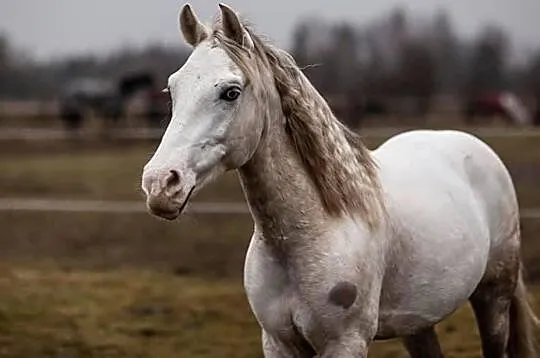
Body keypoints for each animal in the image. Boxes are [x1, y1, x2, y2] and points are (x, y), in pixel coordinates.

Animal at [141, 4, 536, 356]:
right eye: (172, 90)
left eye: (231, 92)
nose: (160, 184)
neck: (315, 229)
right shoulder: (278, 343)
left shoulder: (345, 343)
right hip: (418, 322)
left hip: (493, 299)